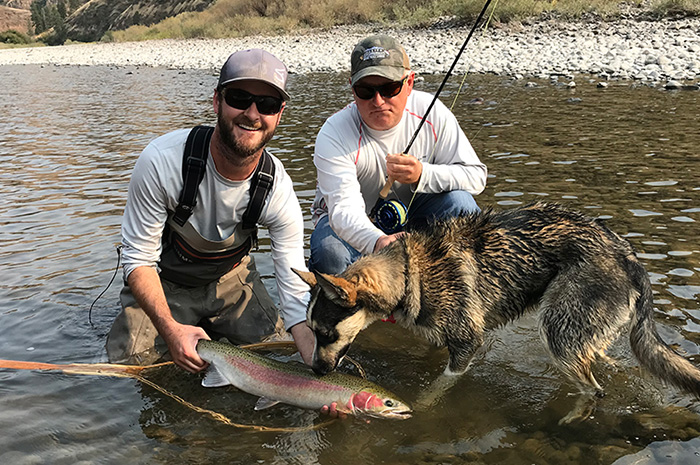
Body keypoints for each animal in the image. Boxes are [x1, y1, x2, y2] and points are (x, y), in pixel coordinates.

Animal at [292, 201, 700, 418]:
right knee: (600, 360)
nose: (315, 372)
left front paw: (421, 406)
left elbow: (438, 386)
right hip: (582, 331)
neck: (409, 273)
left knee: (593, 389)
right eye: (310, 332)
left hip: (558, 334)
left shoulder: (467, 343)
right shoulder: (442, 337)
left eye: (325, 333)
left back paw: (570, 416)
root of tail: (627, 255)